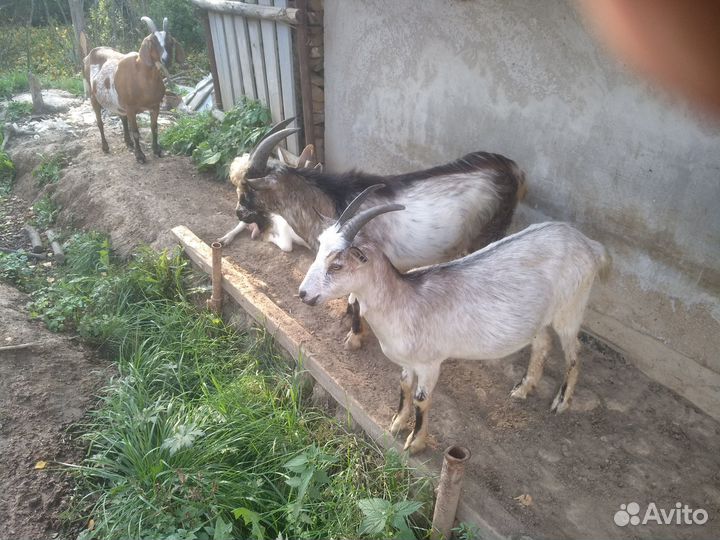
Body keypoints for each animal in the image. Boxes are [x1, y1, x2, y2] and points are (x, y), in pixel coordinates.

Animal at [83, 16, 185, 163]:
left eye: (170, 41)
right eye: (153, 42)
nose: (167, 59)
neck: (143, 79)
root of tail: (91, 53)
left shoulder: (155, 106)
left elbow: (154, 127)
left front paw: (157, 150)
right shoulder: (131, 108)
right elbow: (136, 132)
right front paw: (140, 156)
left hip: (117, 102)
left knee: (122, 118)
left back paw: (128, 142)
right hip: (93, 96)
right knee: (100, 122)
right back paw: (105, 147)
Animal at [223, 127, 527, 349]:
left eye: (247, 189)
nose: (239, 212)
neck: (332, 201)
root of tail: (513, 170)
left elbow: (358, 302)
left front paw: (355, 337)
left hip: (491, 230)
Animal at [298, 187, 610, 454]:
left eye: (337, 265)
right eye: (318, 252)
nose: (303, 293)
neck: (403, 302)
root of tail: (590, 245)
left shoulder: (430, 363)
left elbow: (422, 399)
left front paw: (415, 443)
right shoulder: (408, 362)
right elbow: (404, 386)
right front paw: (396, 424)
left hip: (570, 309)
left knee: (574, 351)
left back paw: (561, 402)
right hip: (539, 318)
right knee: (542, 344)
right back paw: (523, 388)